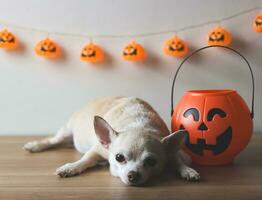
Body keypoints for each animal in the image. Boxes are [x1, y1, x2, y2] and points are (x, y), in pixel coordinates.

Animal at [24, 96, 201, 185]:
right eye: (119, 158)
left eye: (151, 161)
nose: (133, 175)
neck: (138, 125)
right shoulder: (97, 149)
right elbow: (86, 159)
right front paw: (72, 167)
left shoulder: (170, 150)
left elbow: (177, 159)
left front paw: (188, 170)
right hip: (66, 131)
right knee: (54, 140)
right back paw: (35, 145)